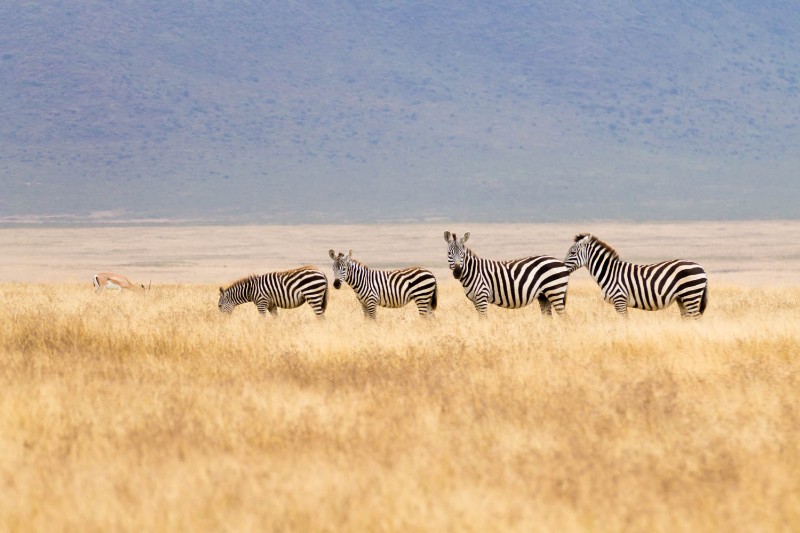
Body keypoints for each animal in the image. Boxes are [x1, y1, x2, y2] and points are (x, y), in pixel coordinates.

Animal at [564, 234, 708, 318]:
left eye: (572, 252)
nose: (563, 267)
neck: (609, 272)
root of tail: (701, 268)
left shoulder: (620, 300)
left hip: (691, 295)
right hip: (682, 299)